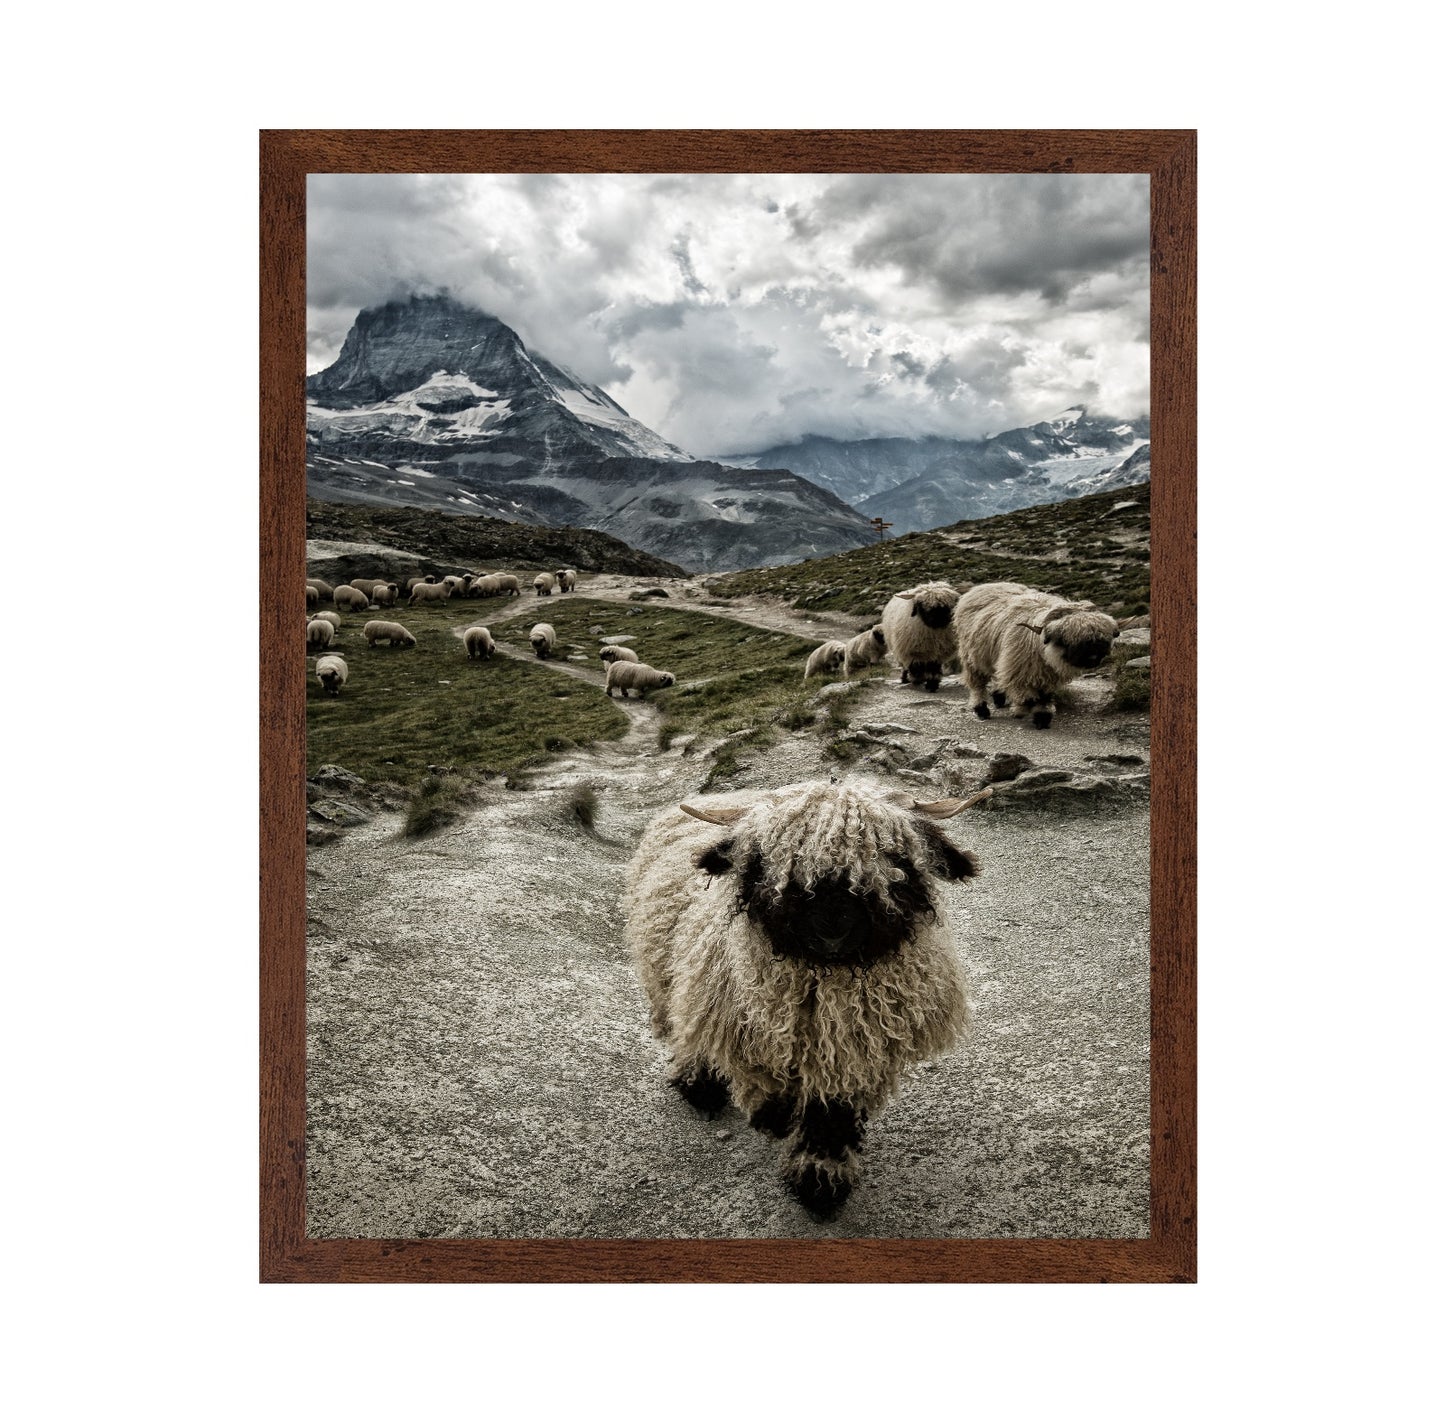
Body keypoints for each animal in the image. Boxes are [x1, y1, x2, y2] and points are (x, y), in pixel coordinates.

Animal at [624, 779, 989, 1217]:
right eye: (770, 860)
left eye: (896, 857)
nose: (832, 927)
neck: (826, 986)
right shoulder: (752, 1029)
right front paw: (775, 1120)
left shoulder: (852, 1053)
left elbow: (831, 1116)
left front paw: (820, 1182)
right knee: (688, 1025)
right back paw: (699, 1082)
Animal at [954, 582, 1121, 729]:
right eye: (1067, 641)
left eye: (1101, 640)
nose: (1094, 658)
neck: (1041, 649)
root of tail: (982, 586)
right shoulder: (1019, 672)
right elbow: (1029, 699)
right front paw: (1020, 710)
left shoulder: (1047, 677)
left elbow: (1044, 698)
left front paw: (1042, 718)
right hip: (972, 659)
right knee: (977, 686)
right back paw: (981, 710)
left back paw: (999, 697)